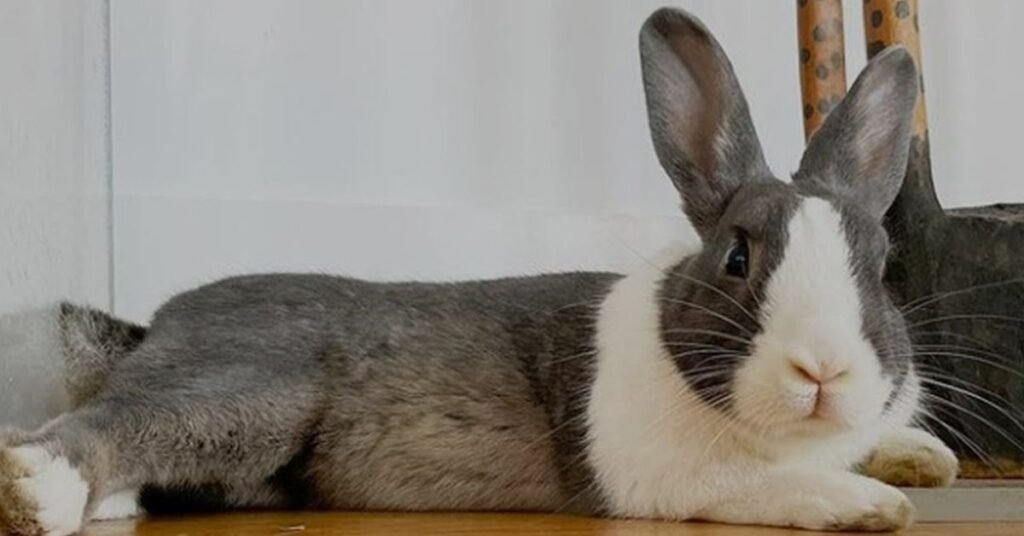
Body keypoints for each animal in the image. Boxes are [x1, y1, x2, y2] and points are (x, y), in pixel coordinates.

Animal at [0, 7, 958, 535]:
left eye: (880, 268)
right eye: (737, 256)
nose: (824, 370)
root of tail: (160, 325)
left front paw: (925, 459)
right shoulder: (670, 475)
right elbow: (769, 483)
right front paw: (867, 505)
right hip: (249, 392)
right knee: (109, 422)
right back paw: (43, 492)